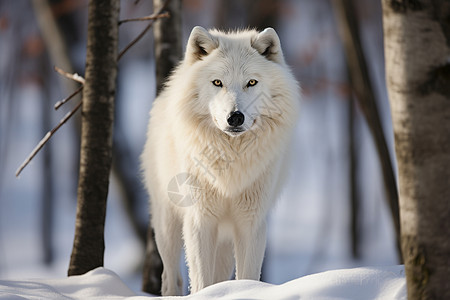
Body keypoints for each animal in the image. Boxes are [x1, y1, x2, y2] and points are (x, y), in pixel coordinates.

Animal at [142, 26, 298, 296]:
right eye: (217, 82)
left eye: (251, 82)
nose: (235, 117)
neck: (230, 161)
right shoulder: (199, 220)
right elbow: (200, 280)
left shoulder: (251, 223)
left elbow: (247, 276)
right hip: (167, 227)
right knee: (171, 278)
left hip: (225, 237)